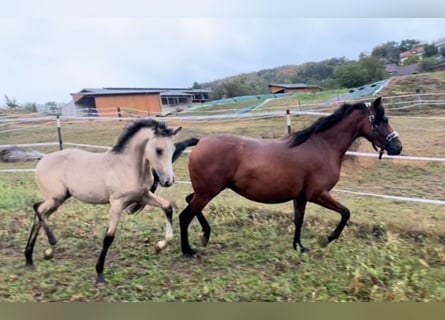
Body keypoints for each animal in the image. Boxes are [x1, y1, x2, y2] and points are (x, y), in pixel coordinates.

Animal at [23, 119, 180, 286]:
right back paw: (51, 244)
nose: (168, 181)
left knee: (38, 214)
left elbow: (168, 207)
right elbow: (108, 238)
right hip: (56, 197)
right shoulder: (117, 203)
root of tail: (42, 159)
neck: (128, 167)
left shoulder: (143, 196)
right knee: (38, 209)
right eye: (158, 150)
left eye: (173, 149)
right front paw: (99, 275)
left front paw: (160, 245)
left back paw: (30, 258)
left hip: (59, 198)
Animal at [177, 96, 402, 256]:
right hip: (208, 192)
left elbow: (299, 220)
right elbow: (346, 213)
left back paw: (205, 235)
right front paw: (326, 239)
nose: (397, 147)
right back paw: (188, 250)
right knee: (185, 215)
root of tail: (200, 142)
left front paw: (299, 246)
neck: (322, 146)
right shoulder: (318, 194)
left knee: (189, 200)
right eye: (382, 120)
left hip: (204, 191)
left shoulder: (300, 197)